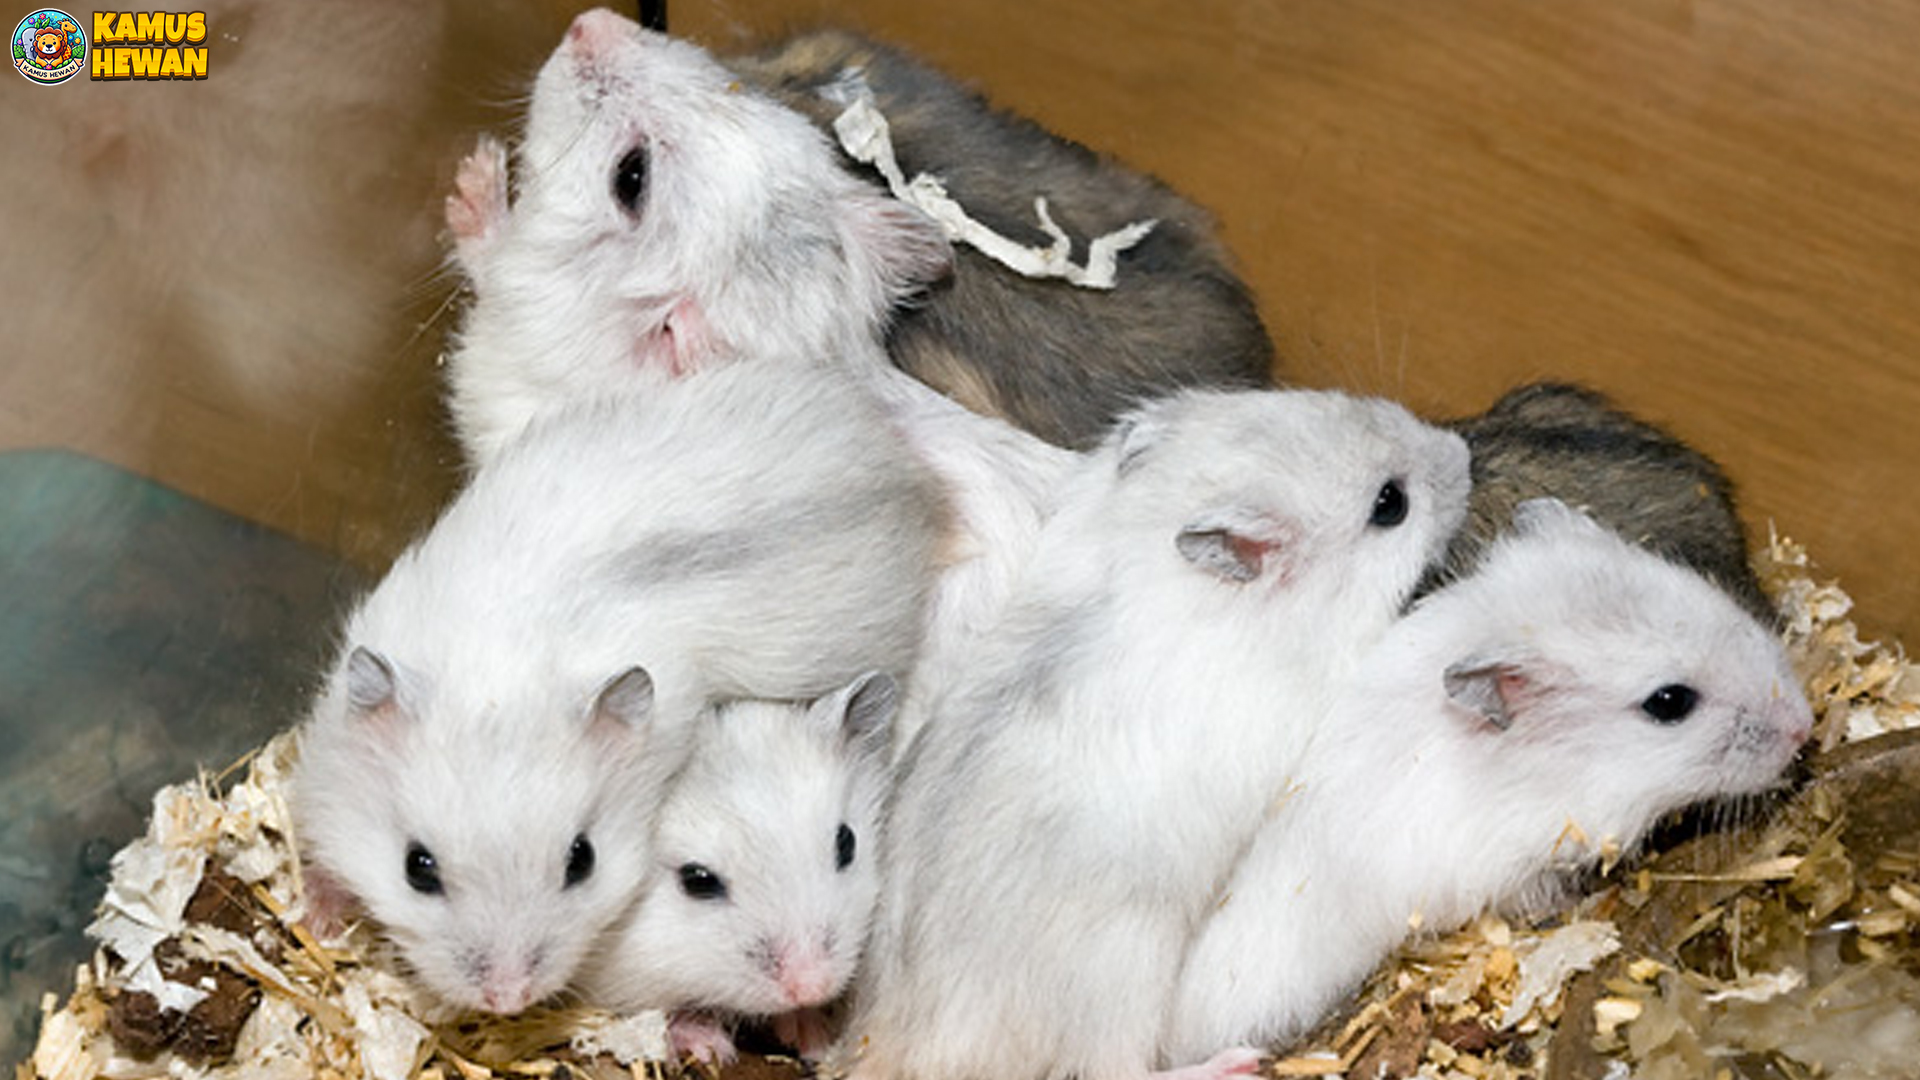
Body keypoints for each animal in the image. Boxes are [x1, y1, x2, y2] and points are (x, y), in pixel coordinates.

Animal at [292, 359, 945, 1015]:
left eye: (582, 861)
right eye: (416, 869)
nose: (508, 999)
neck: (500, 671)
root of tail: (897, 466)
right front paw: (320, 917)